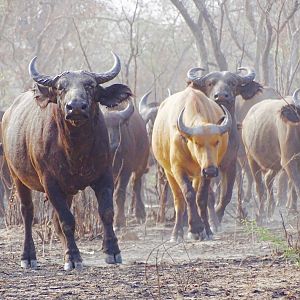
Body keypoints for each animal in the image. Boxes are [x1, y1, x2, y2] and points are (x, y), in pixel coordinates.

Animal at [2, 52, 131, 270]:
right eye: (61, 87)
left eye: (90, 85)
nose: (76, 107)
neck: (76, 149)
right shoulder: (50, 183)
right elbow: (67, 220)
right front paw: (73, 257)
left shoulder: (104, 175)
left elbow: (106, 212)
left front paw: (112, 251)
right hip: (17, 177)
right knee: (28, 213)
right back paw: (28, 256)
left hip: (67, 190)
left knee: (54, 219)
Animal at [103, 99, 150, 229]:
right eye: (103, 126)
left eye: (118, 126)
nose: (113, 146)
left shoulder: (126, 169)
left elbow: (119, 194)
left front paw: (119, 221)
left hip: (141, 164)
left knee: (136, 185)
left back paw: (140, 214)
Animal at [188, 68, 255, 223]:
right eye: (210, 83)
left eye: (233, 83)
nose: (221, 96)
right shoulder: (205, 168)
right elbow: (209, 196)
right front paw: (212, 220)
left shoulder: (230, 164)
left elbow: (226, 195)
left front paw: (218, 216)